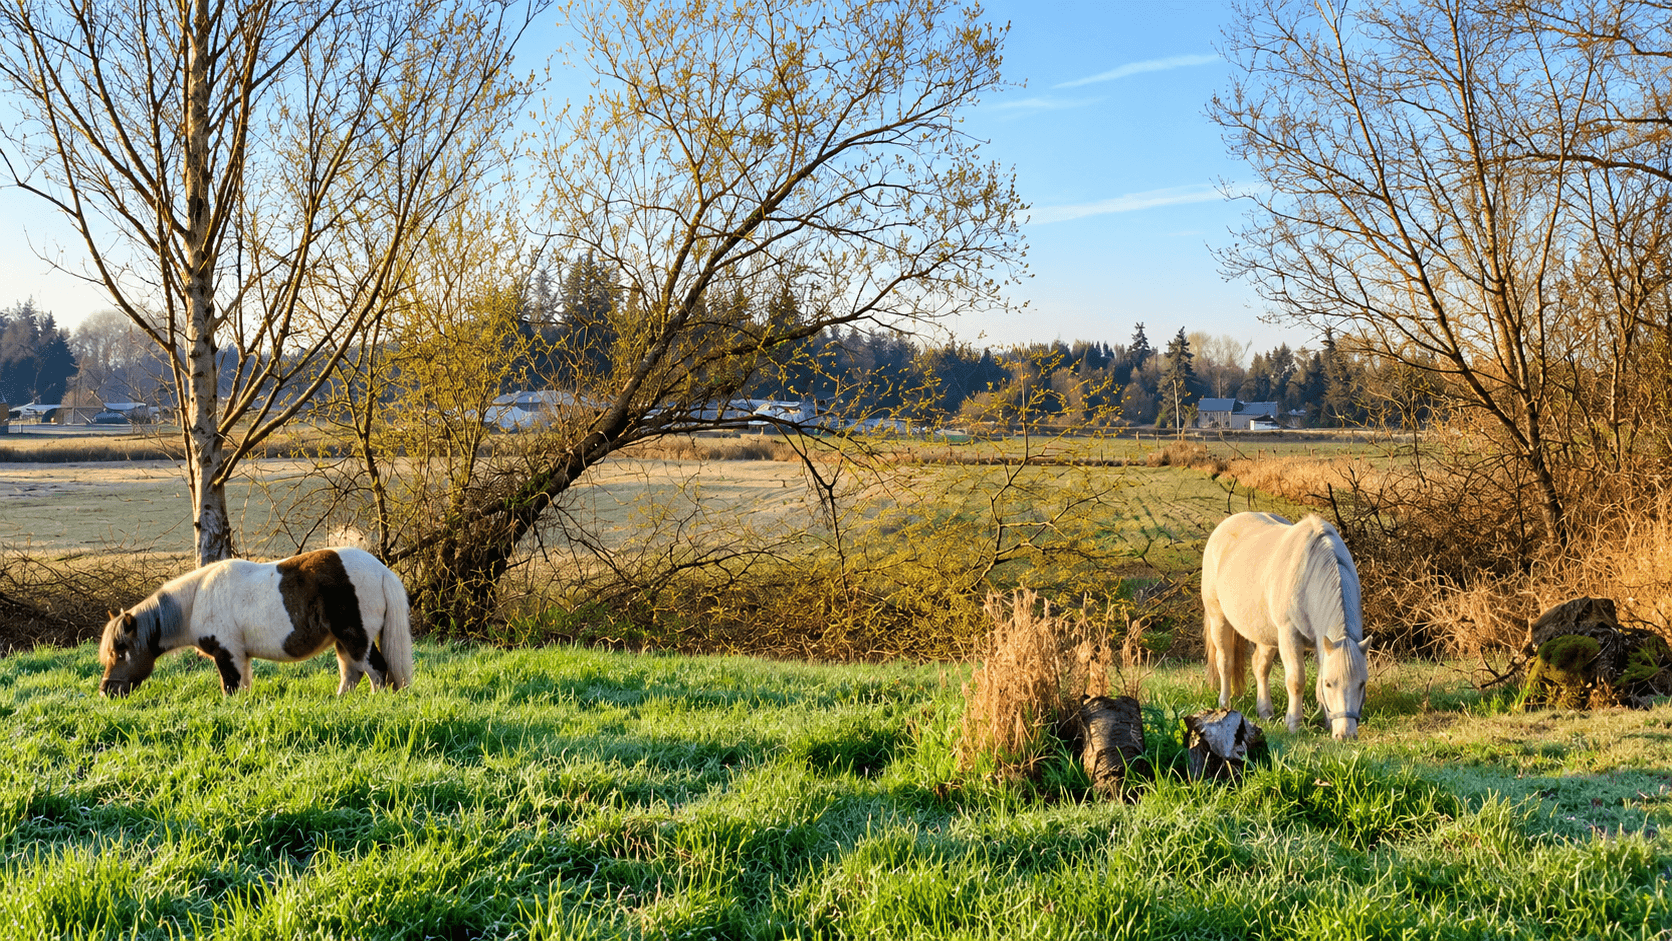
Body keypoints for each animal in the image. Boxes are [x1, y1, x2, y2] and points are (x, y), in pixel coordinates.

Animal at [98, 546, 413, 697]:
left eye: (120, 652)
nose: (106, 691)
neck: (198, 597)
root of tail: (382, 570)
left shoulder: (228, 654)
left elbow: (231, 688)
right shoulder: (241, 656)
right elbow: (243, 689)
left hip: (356, 639)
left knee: (378, 673)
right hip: (342, 642)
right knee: (352, 675)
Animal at [1202, 512, 1369, 740]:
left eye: (1362, 683)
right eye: (1329, 683)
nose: (1346, 734)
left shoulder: (1320, 642)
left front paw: (1326, 721)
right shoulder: (1289, 635)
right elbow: (1296, 680)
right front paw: (1294, 723)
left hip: (1266, 636)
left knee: (1260, 667)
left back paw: (1265, 711)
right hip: (1219, 619)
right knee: (1225, 662)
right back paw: (1224, 706)